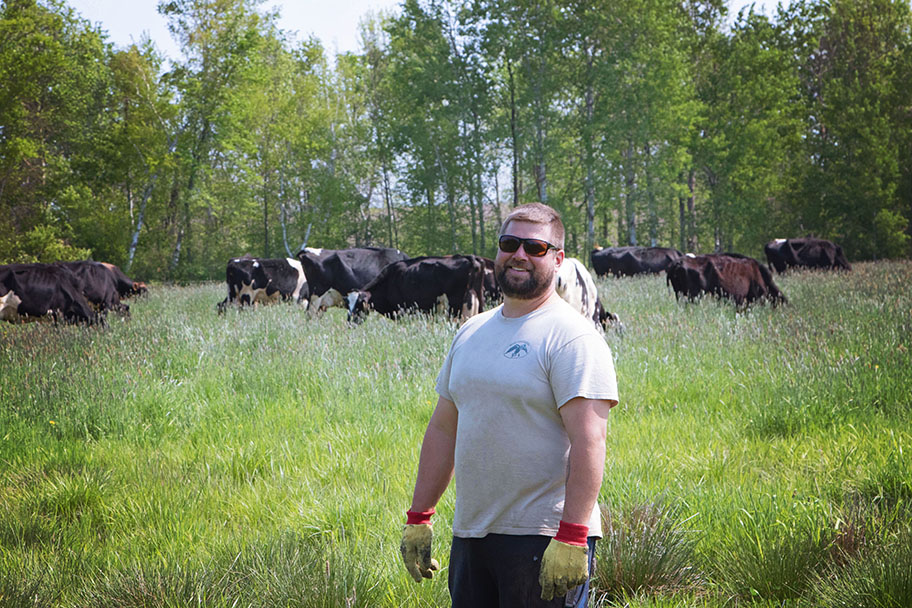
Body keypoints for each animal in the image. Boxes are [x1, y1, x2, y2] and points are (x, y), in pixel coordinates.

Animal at [346, 254, 484, 324]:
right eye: (348, 304)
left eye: (359, 304)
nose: (350, 322)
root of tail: (468, 257)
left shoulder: (402, 311)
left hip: (455, 306)